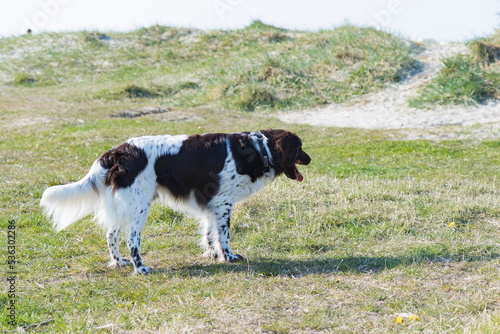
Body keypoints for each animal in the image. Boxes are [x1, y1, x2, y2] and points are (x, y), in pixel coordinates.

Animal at [41, 129, 310, 272]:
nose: (310, 158)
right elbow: (223, 236)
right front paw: (229, 257)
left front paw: (212, 256)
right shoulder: (223, 203)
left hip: (126, 207)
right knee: (132, 240)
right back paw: (141, 268)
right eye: (300, 148)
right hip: (140, 207)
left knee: (111, 235)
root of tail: (117, 152)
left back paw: (119, 263)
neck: (258, 150)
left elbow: (209, 234)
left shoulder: (211, 205)